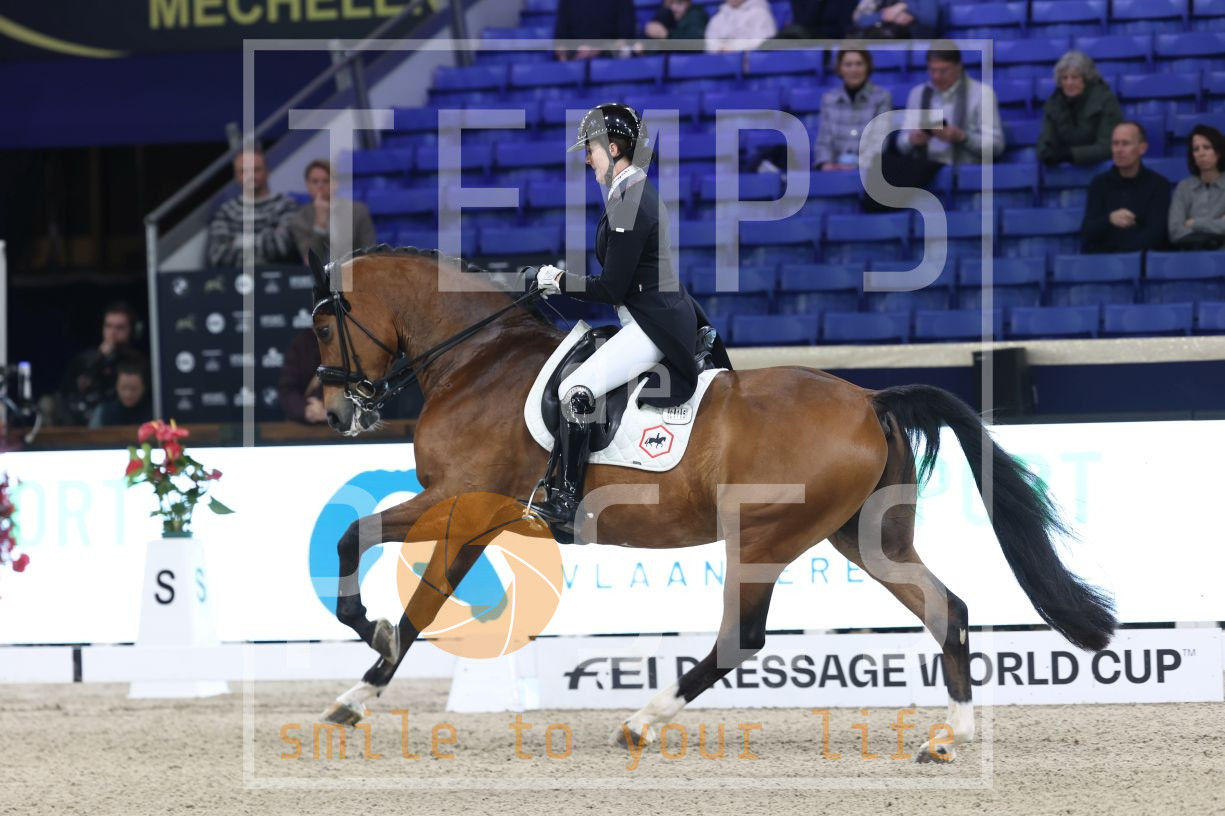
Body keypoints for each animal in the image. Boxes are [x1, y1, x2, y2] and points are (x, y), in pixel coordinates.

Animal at [309, 245, 1116, 763]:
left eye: (321, 326)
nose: (334, 410)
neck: (478, 361)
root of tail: (869, 397)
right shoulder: (475, 516)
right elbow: (393, 574)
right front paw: (361, 675)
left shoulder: (460, 502)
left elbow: (384, 565)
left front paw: (368, 649)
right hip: (864, 537)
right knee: (946, 608)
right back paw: (946, 740)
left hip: (760, 537)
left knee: (741, 637)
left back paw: (642, 723)